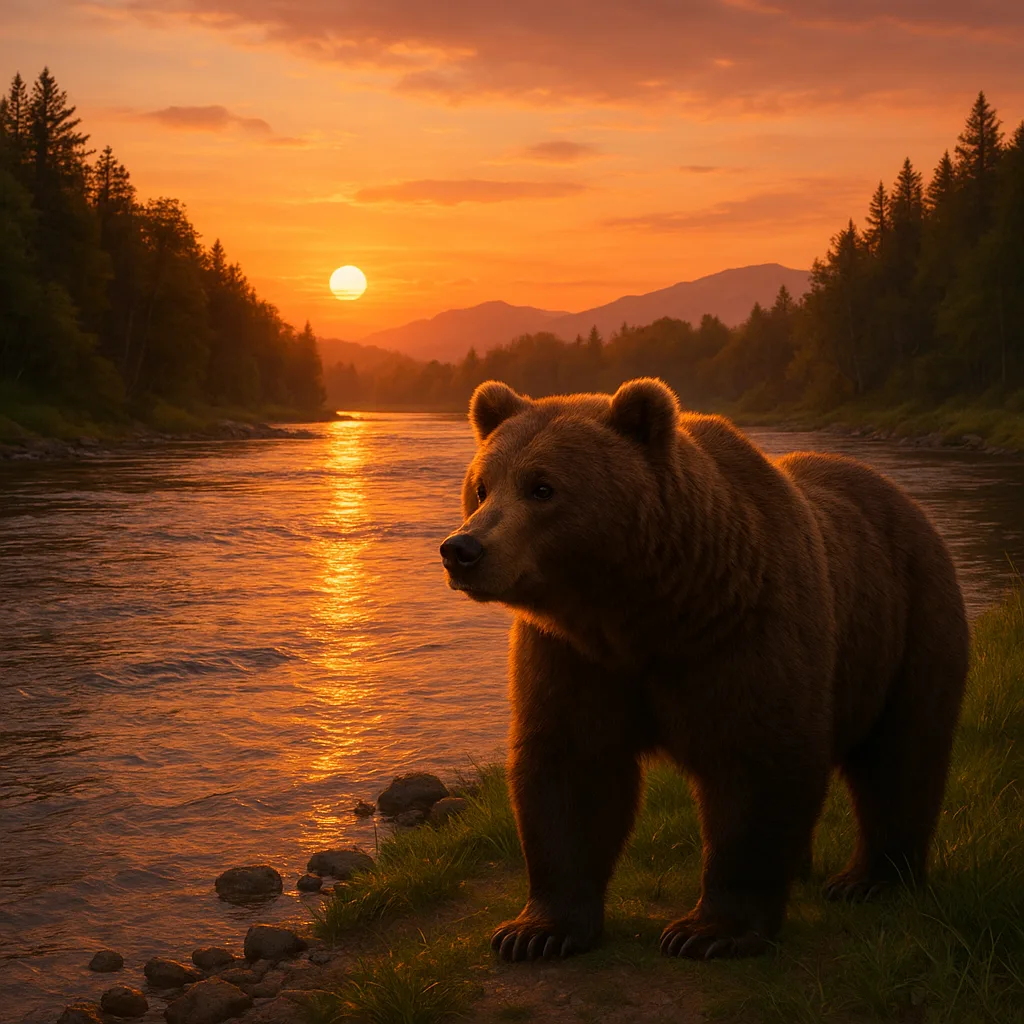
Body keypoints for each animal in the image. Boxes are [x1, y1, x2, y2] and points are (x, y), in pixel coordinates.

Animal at [440, 377, 969, 962]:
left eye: (542, 487)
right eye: (481, 486)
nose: (462, 548)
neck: (641, 609)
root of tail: (902, 496)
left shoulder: (745, 630)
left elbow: (756, 764)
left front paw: (708, 931)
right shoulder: (572, 654)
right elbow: (570, 764)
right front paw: (536, 931)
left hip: (908, 620)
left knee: (901, 752)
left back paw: (870, 880)